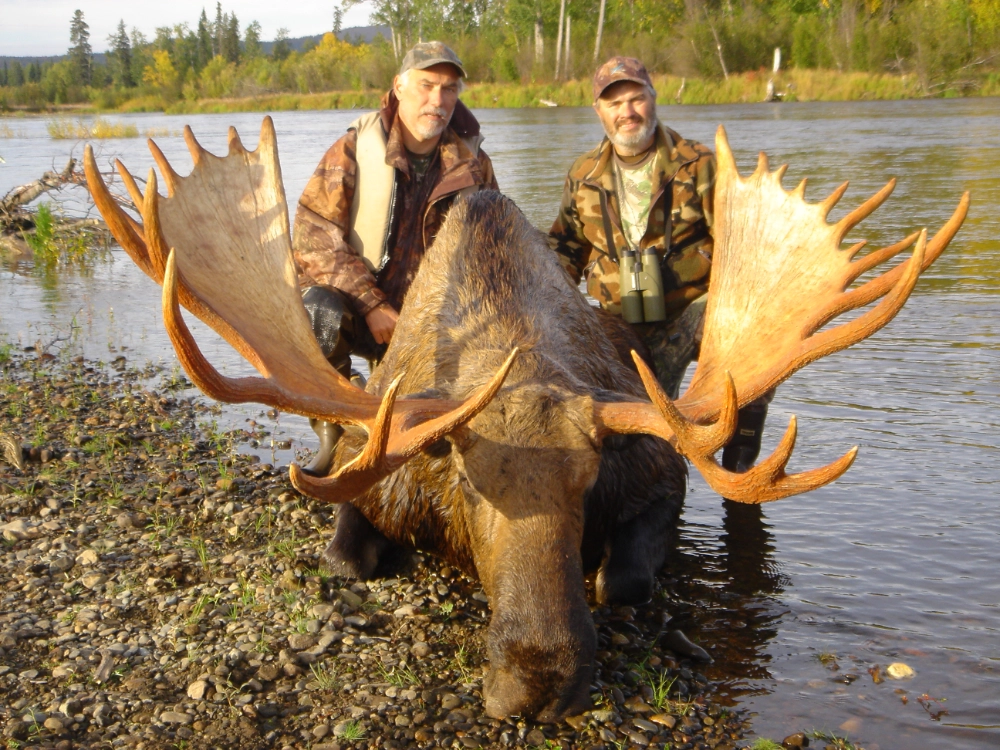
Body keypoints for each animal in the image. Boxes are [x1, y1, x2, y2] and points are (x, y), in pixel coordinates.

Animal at [84, 117, 967, 722]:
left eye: (588, 485)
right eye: (468, 484)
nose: (539, 682)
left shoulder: (657, 476)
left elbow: (624, 577)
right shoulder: (377, 476)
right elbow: (345, 558)